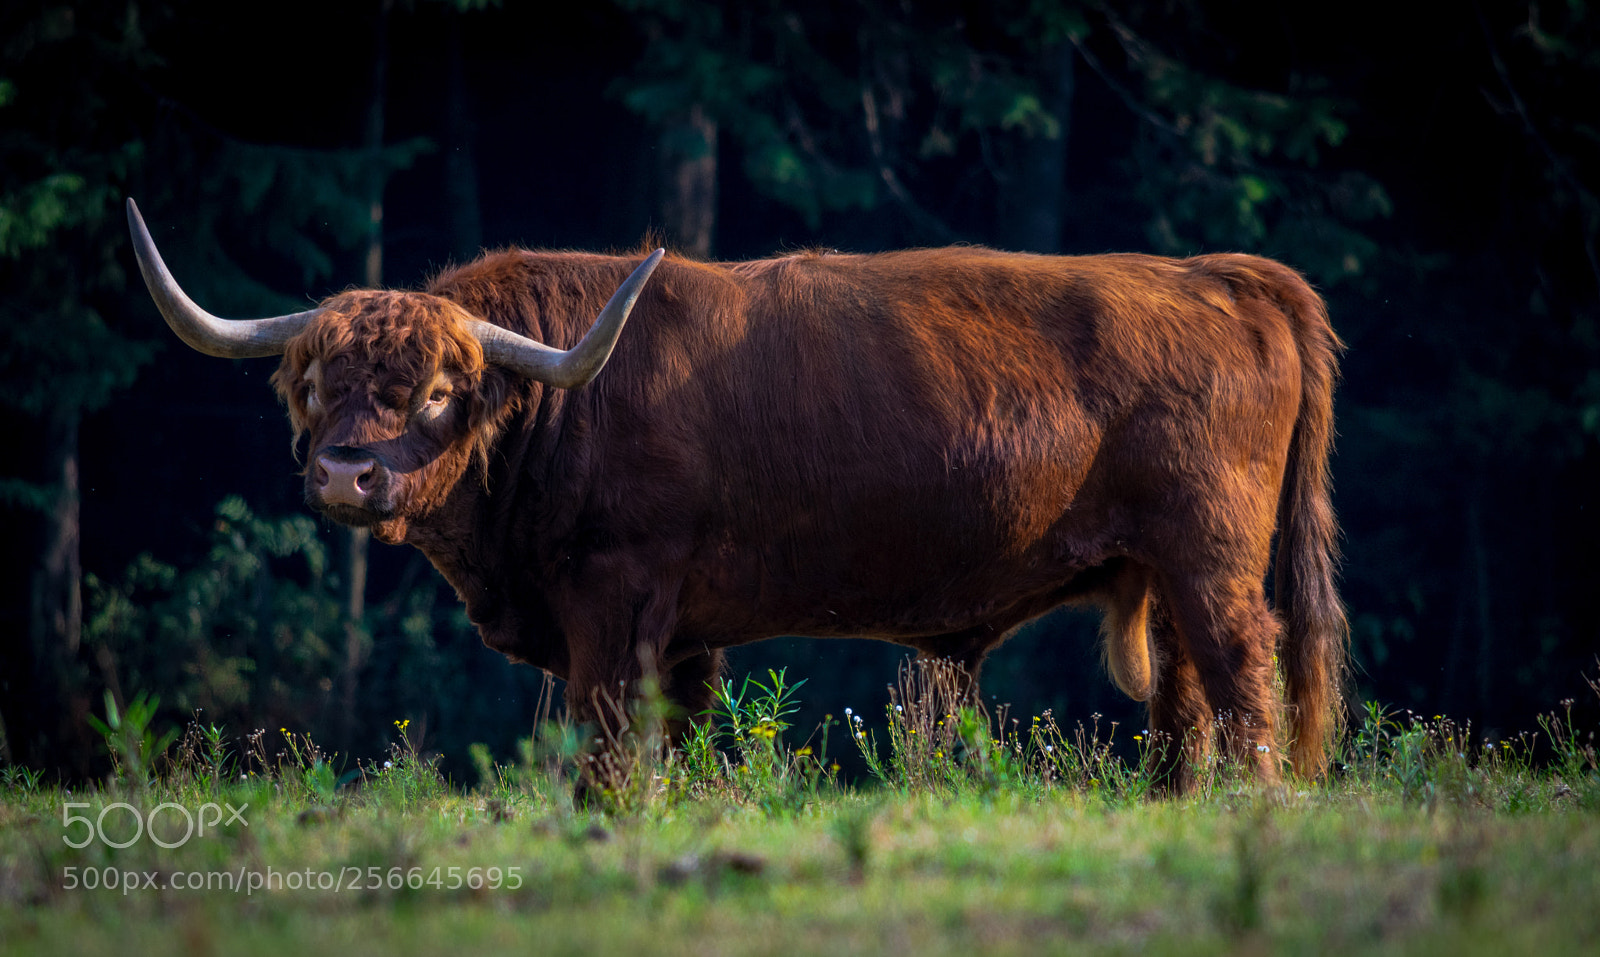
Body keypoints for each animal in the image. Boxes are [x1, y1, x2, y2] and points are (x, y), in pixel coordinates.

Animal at [127, 198, 1347, 793]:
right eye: (318, 383)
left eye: (434, 391)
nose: (348, 472)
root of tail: (1212, 274)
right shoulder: (678, 635)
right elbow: (658, 741)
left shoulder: (615, 601)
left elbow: (607, 744)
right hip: (1164, 568)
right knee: (1184, 696)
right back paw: (1173, 802)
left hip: (1210, 556)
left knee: (1243, 675)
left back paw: (1248, 803)